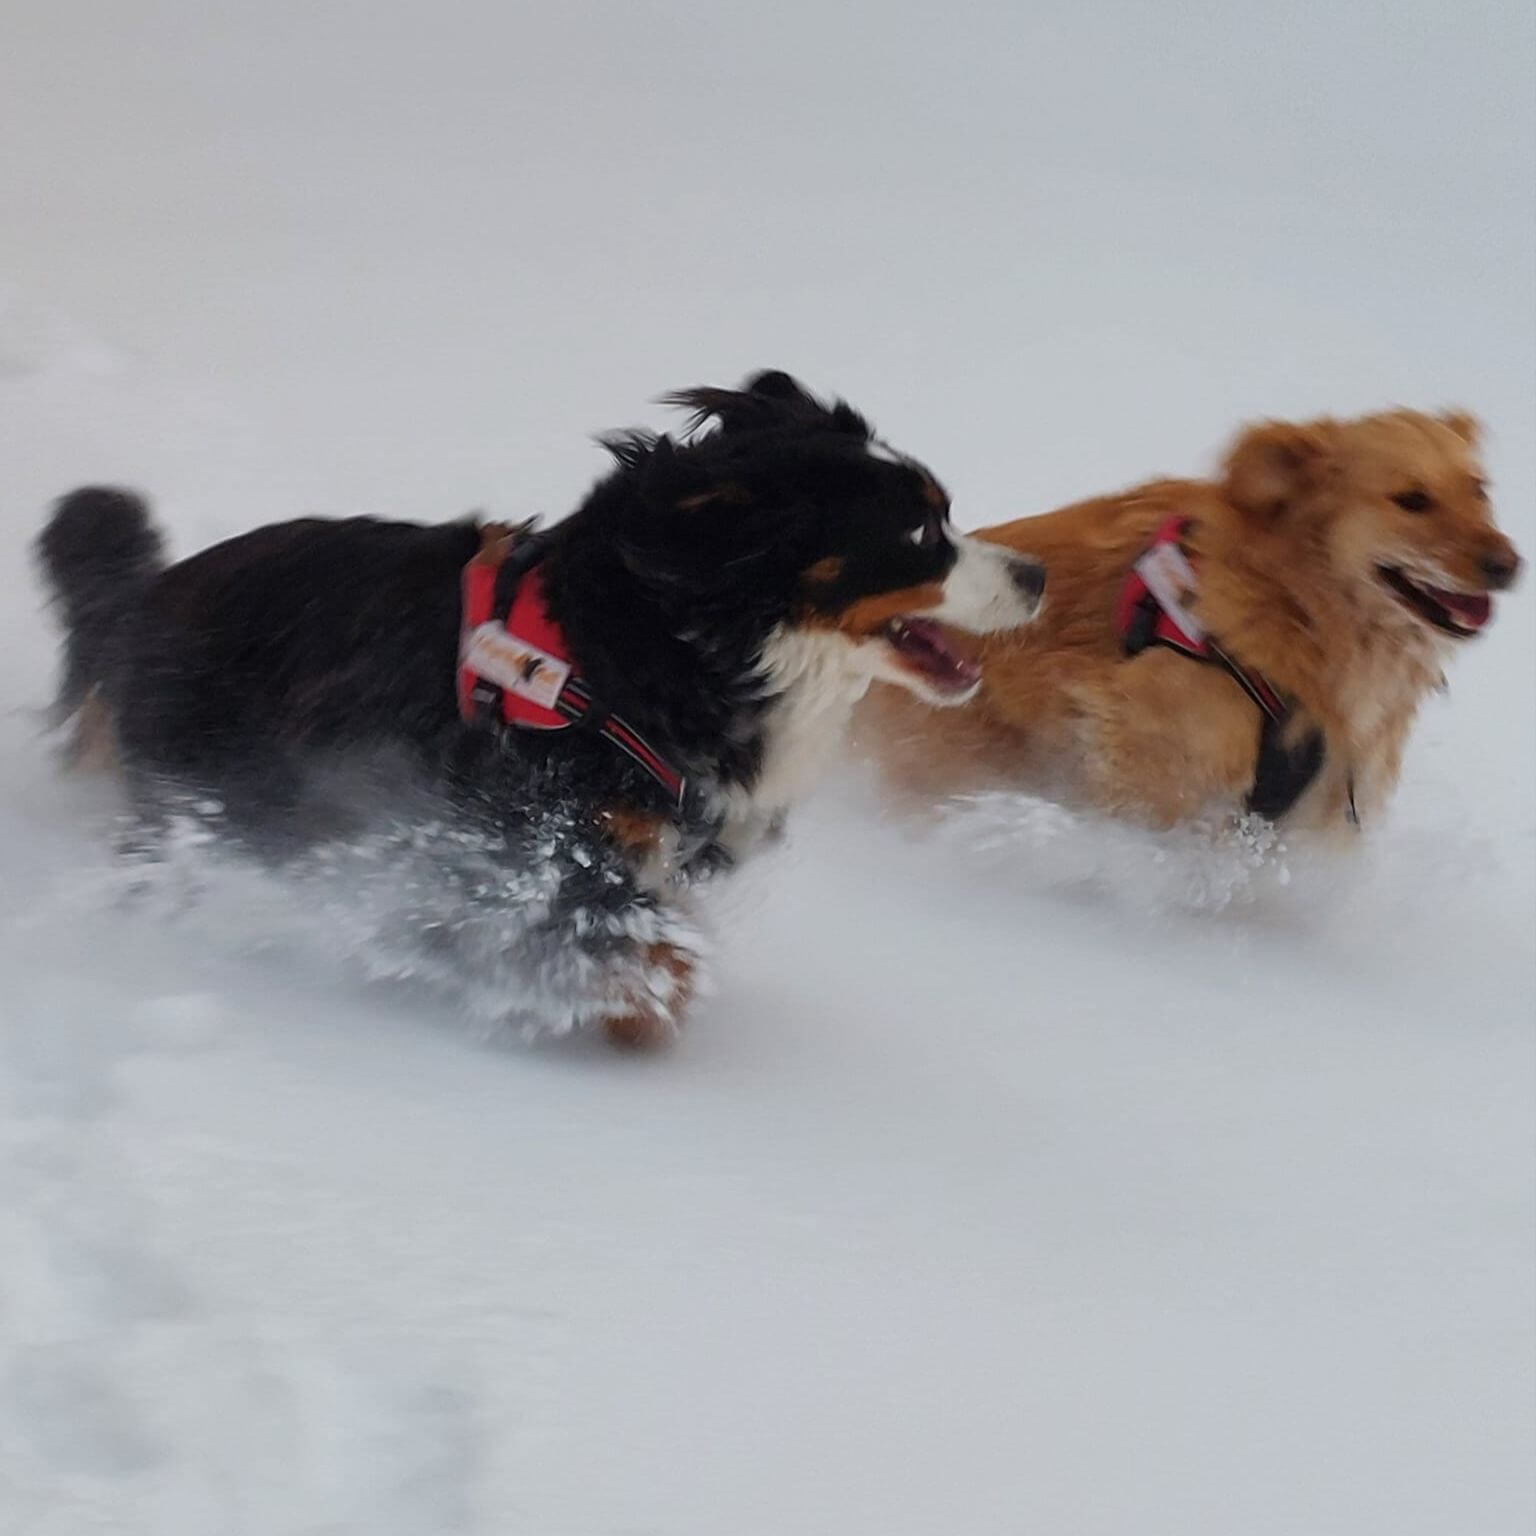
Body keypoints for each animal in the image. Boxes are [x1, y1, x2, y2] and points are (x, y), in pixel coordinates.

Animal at [36, 371, 1044, 1044]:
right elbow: (638, 953)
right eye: (919, 530)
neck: (665, 647)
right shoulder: (523, 841)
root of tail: (148, 597)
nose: (1036, 575)